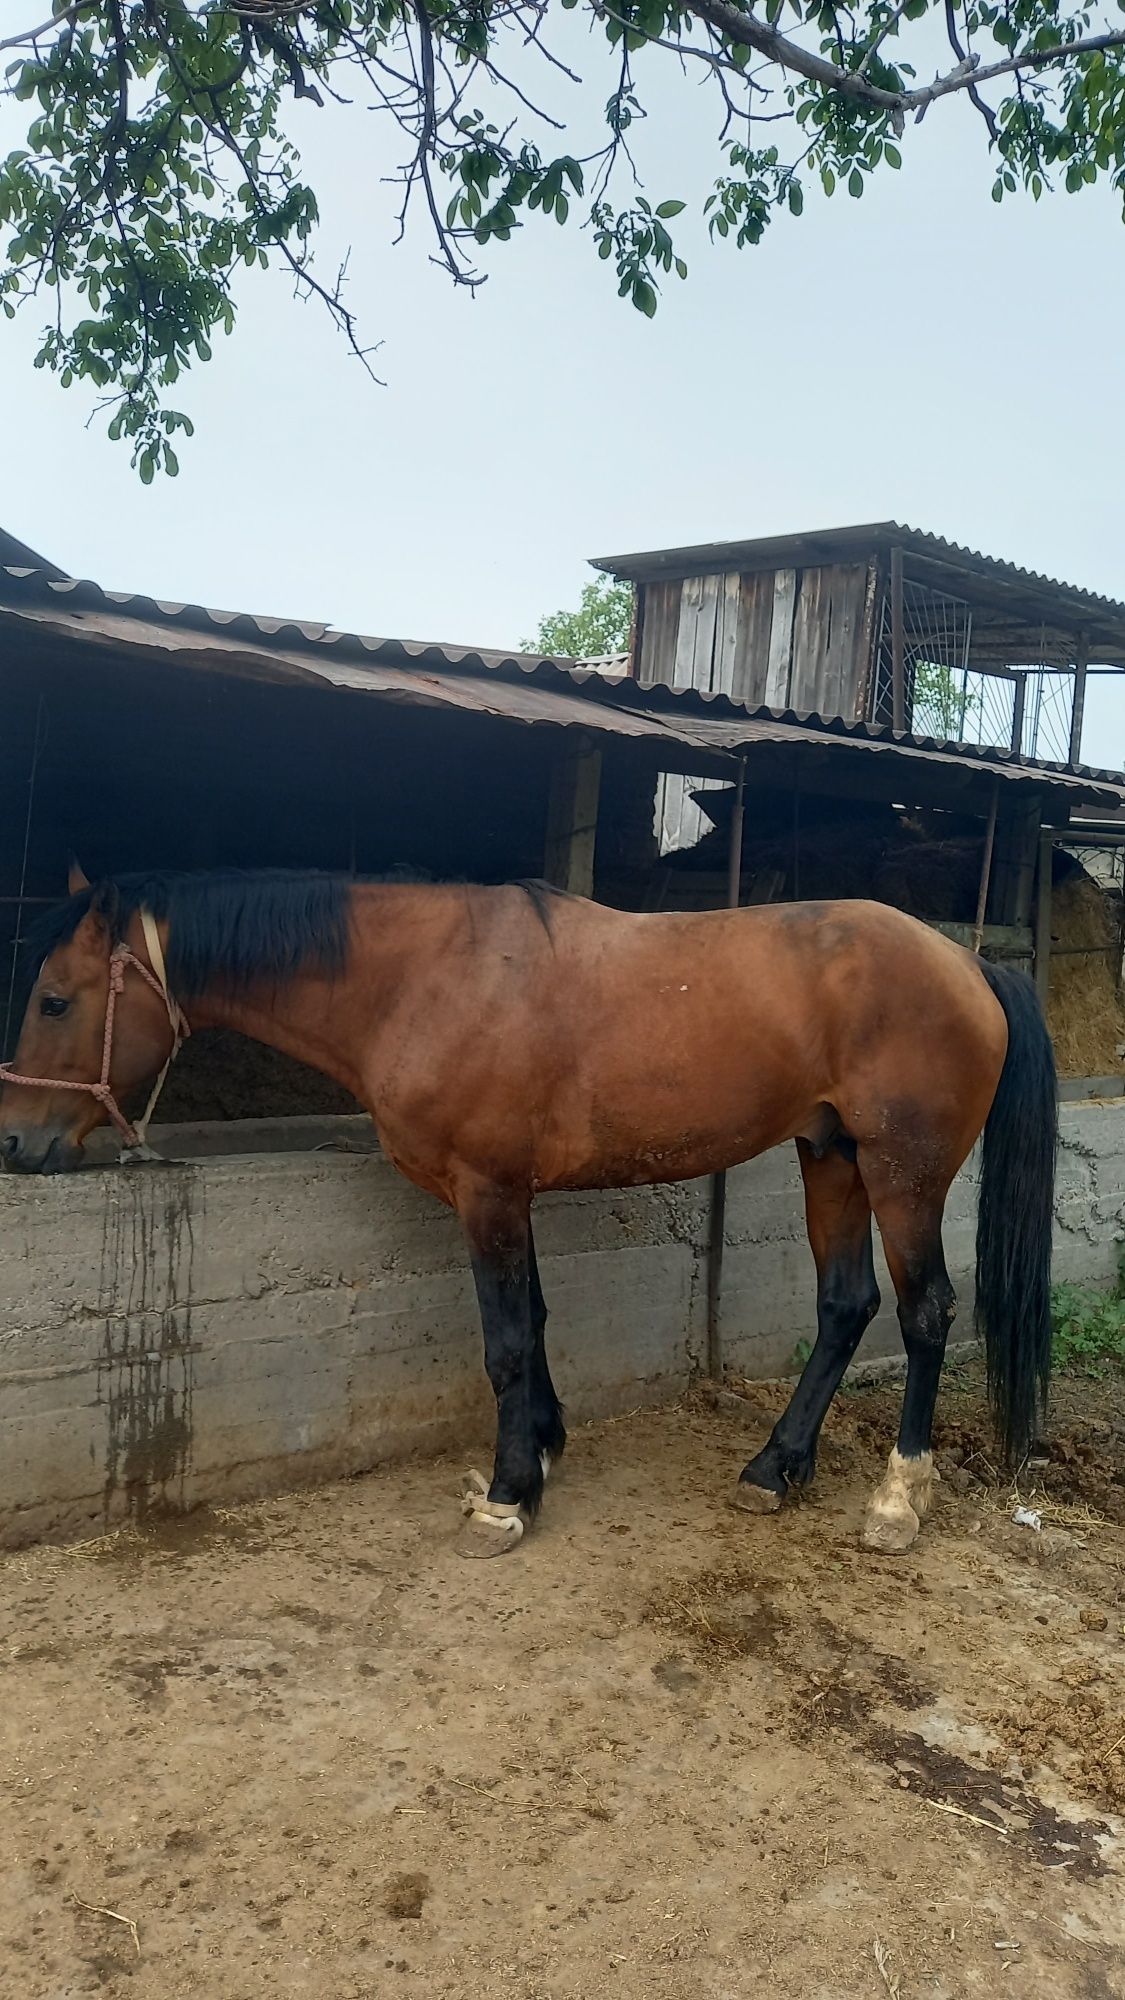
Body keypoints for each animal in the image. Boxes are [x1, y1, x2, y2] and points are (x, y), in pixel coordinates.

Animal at [0, 868, 1048, 1552]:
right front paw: (541, 1453)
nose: (14, 1141)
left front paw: (505, 1497)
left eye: (54, 1000)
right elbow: (535, 1322)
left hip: (902, 1174)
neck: (421, 978)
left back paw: (897, 1499)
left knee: (923, 1313)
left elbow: (504, 1340)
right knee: (842, 1307)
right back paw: (774, 1468)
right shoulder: (509, 1196)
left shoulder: (488, 1191)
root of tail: (966, 964)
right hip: (829, 1156)